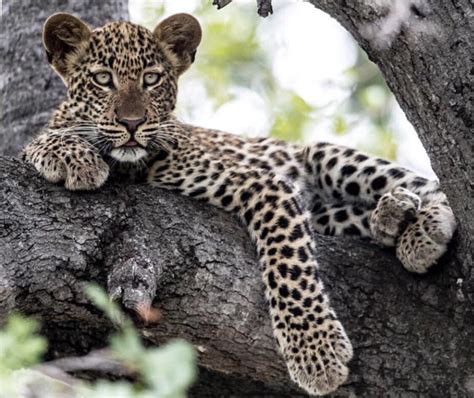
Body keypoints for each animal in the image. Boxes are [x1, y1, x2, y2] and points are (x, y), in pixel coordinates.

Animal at [20, 11, 458, 394]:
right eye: (102, 79)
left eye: (152, 79)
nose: (132, 123)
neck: (126, 167)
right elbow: (37, 142)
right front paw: (74, 156)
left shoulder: (266, 183)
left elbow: (291, 267)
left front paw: (316, 352)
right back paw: (392, 215)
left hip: (324, 155)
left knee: (432, 185)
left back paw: (422, 228)